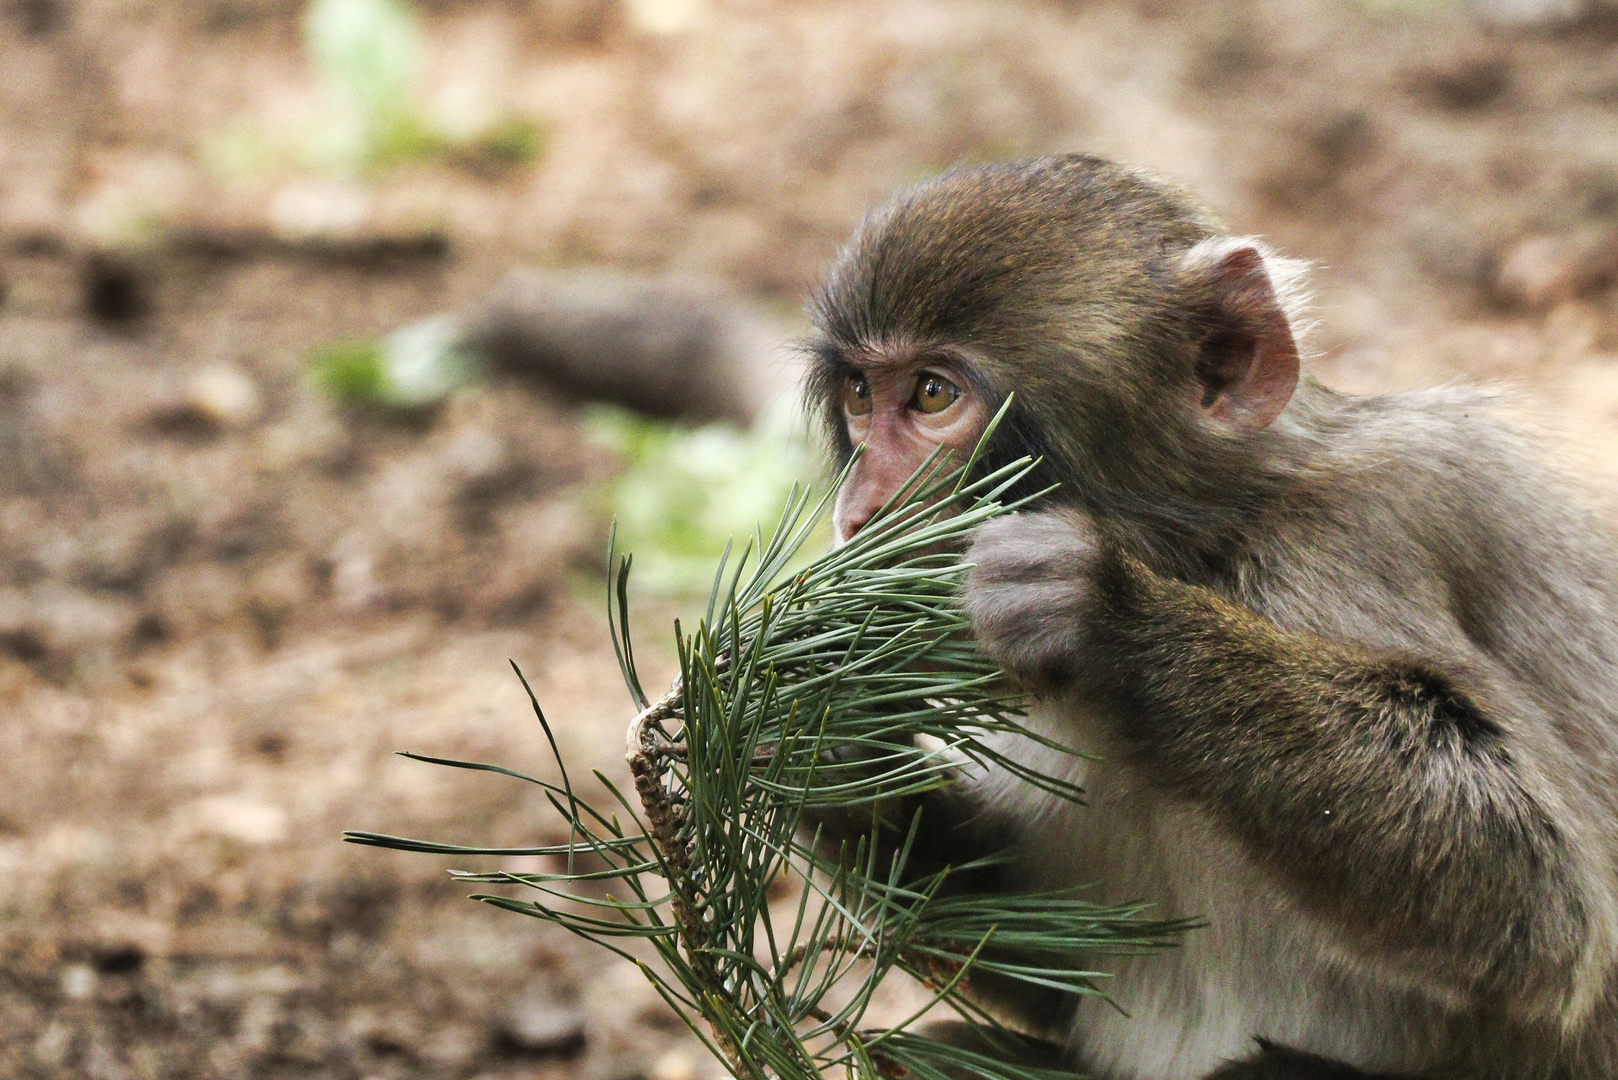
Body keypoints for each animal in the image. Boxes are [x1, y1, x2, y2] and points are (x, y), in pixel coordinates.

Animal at [802, 153, 1618, 1080]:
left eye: (933, 395)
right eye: (861, 395)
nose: (862, 512)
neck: (1207, 542)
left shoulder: (1359, 538)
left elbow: (1548, 912)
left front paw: (1106, 616)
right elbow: (1039, 959)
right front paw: (831, 766)